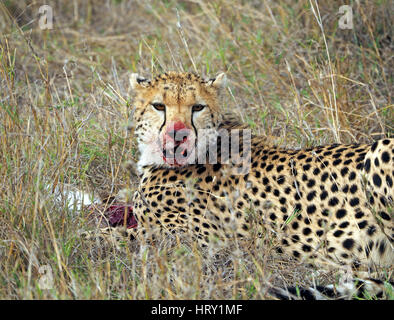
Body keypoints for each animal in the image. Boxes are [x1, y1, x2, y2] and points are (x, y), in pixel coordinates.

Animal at [82, 71, 390, 298]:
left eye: (197, 107)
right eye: (159, 106)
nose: (178, 135)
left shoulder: (204, 244)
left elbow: (110, 236)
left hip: (380, 151)